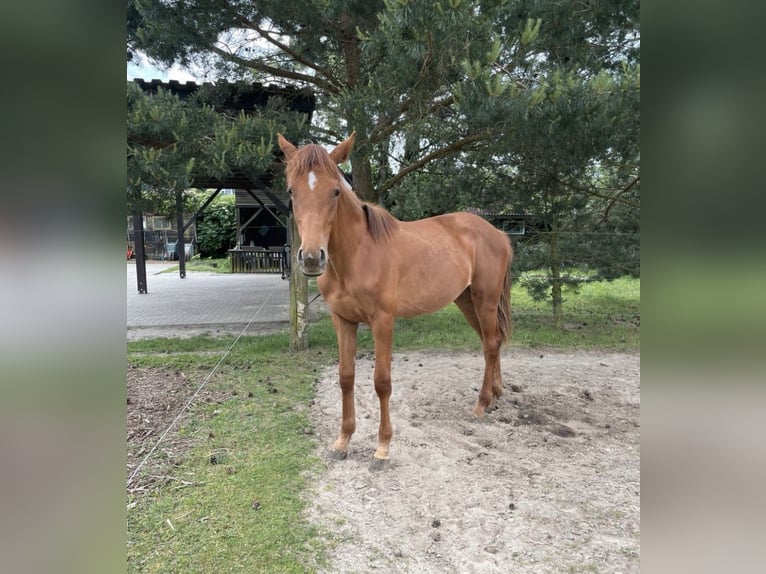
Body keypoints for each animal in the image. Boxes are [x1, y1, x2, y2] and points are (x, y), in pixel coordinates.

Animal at [280, 134, 512, 468]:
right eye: (291, 190)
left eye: (335, 190)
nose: (312, 258)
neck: (358, 255)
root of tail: (497, 233)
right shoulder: (343, 321)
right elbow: (346, 377)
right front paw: (342, 441)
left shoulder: (383, 322)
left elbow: (382, 382)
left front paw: (383, 447)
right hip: (467, 302)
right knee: (490, 342)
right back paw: (495, 395)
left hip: (485, 300)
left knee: (491, 344)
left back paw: (481, 405)